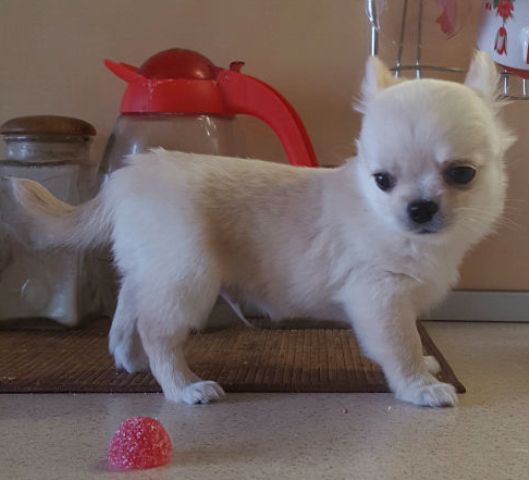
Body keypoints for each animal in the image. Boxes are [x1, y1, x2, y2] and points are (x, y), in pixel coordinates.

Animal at [1, 52, 514, 407]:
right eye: (382, 181)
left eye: (462, 175)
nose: (420, 208)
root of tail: (127, 177)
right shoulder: (380, 297)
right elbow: (402, 343)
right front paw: (420, 386)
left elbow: (412, 337)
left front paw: (426, 366)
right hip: (187, 277)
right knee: (157, 330)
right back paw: (183, 387)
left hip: (152, 270)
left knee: (128, 308)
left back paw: (130, 359)